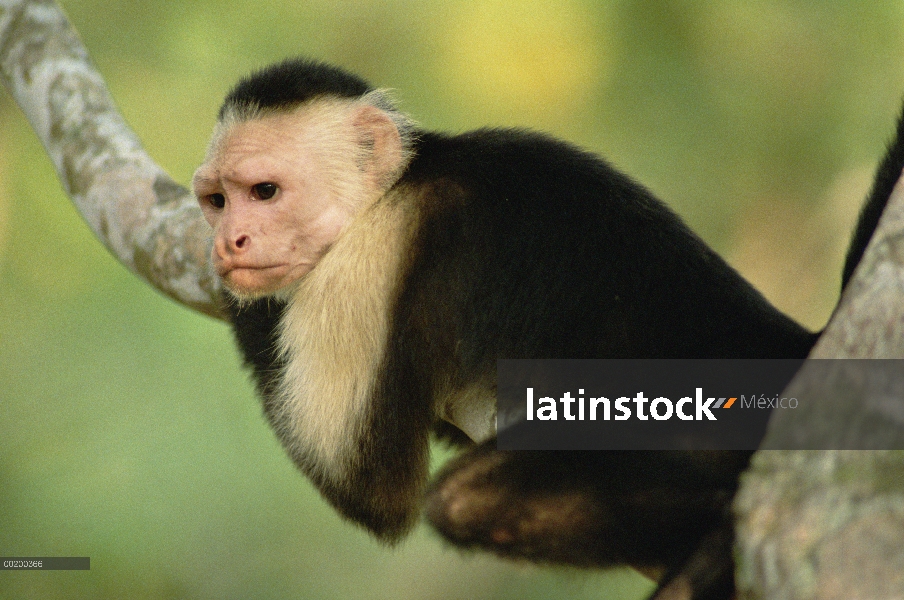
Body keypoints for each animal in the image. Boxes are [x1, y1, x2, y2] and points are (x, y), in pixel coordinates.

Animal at [192, 59, 896, 600]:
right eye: (217, 201)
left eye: (264, 191)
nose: (229, 241)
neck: (399, 183)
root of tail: (791, 346)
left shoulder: (370, 259)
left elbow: (370, 483)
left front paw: (244, 302)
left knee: (464, 501)